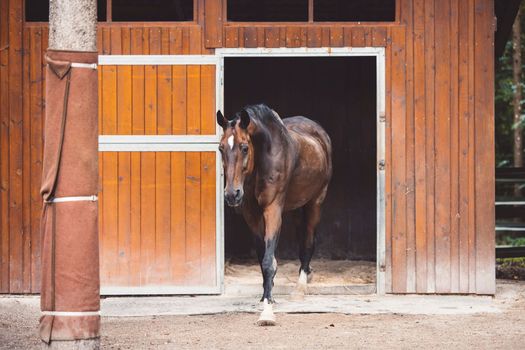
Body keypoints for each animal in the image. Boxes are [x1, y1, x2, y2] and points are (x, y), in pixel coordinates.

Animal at [217, 104, 332, 326]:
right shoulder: (251, 214)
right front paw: (265, 297)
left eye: (244, 147)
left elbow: (269, 261)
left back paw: (300, 289)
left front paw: (267, 313)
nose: (231, 195)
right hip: (297, 207)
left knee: (308, 243)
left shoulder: (272, 209)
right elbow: (263, 258)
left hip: (316, 202)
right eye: (220, 148)